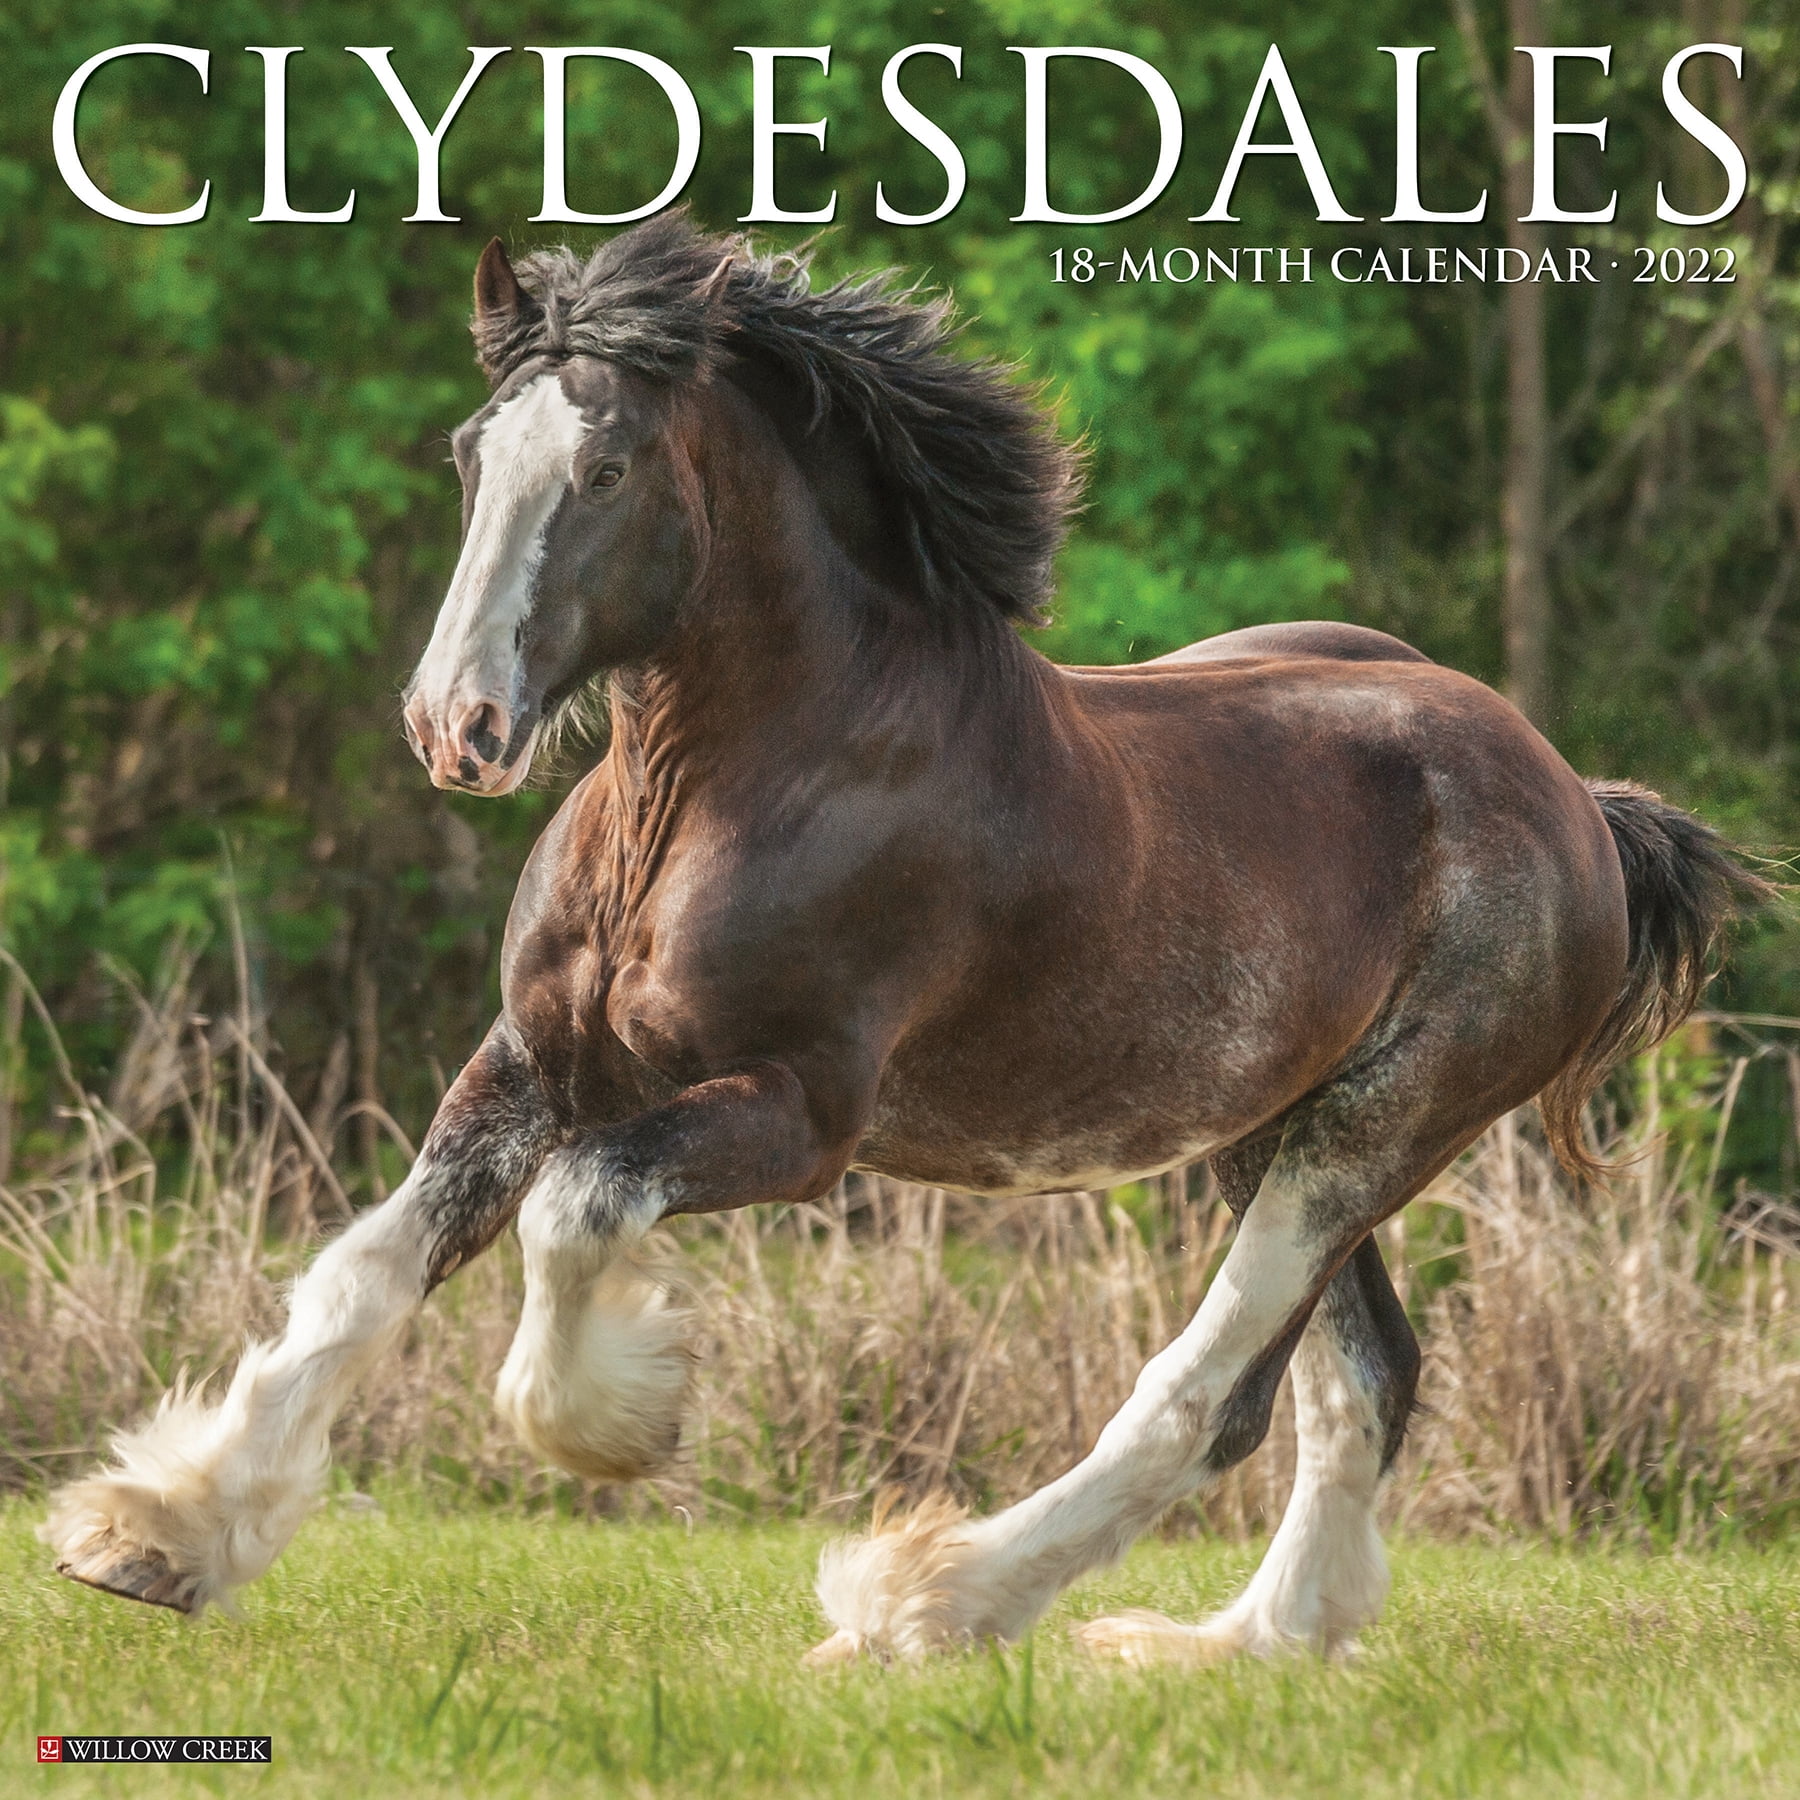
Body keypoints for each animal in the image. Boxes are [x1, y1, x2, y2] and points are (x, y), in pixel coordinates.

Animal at [46, 213, 1763, 1664]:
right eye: (476, 456)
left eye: (605, 470)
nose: (455, 727)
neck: (719, 792)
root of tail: (1575, 799)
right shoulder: (530, 1062)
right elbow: (362, 1274)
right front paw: (154, 1538)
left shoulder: (800, 1115)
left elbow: (577, 1213)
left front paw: (615, 1420)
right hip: (1262, 1131)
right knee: (1361, 1387)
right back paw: (1230, 1650)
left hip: (1376, 1131)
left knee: (1206, 1394)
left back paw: (928, 1603)